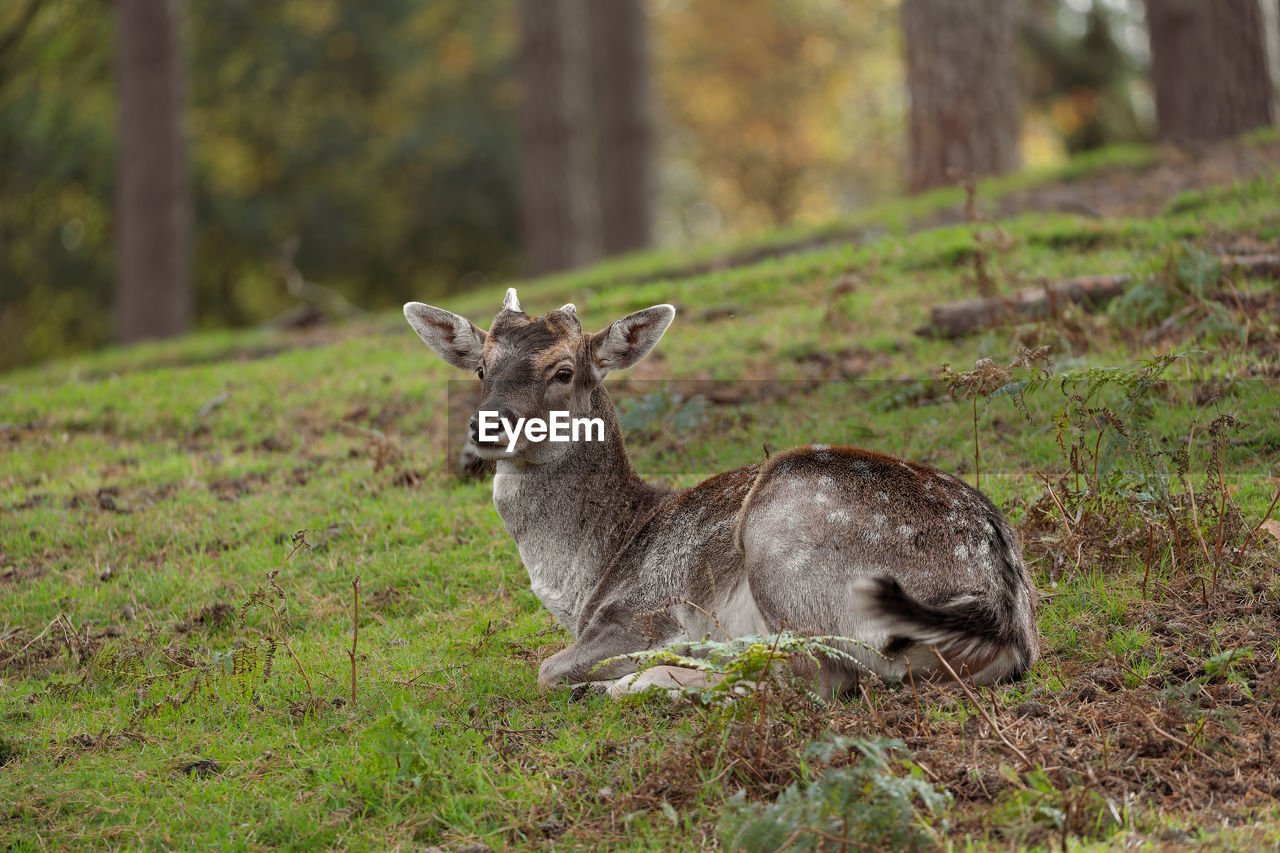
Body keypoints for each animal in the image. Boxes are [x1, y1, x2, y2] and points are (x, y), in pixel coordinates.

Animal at [407, 289, 1039, 696]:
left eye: (564, 371)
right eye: (481, 368)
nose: (486, 428)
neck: (587, 575)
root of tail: (1003, 617)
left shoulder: (642, 613)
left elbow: (548, 670)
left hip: (788, 545)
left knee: (818, 676)